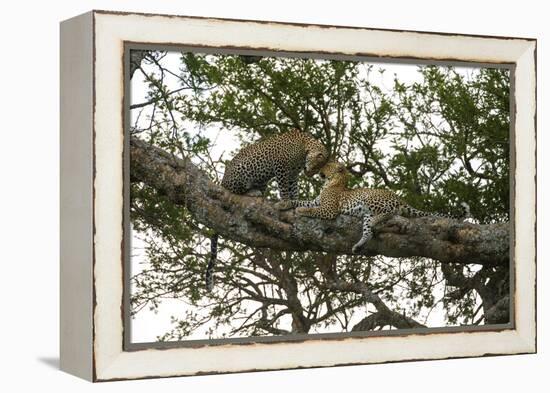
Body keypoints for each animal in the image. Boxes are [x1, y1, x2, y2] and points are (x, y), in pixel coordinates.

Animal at [206, 130, 328, 290]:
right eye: (315, 168)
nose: (308, 174)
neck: (304, 148)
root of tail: (223, 181)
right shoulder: (281, 166)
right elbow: (284, 188)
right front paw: (285, 202)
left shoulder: (293, 174)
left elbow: (293, 189)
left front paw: (293, 202)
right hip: (246, 169)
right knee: (234, 190)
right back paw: (251, 192)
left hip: (262, 180)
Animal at [278, 161, 472, 253]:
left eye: (328, 165)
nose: (319, 171)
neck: (332, 183)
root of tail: (400, 199)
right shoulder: (316, 201)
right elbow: (301, 201)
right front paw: (284, 203)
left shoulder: (329, 209)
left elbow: (311, 209)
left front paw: (301, 211)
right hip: (367, 214)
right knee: (369, 232)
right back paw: (359, 245)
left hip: (370, 199)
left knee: (391, 212)